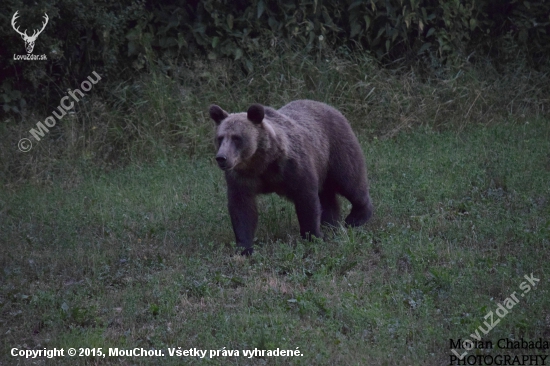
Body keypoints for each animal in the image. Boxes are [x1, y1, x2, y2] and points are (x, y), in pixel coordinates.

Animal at [209, 100, 374, 254]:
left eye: (237, 138)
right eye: (220, 137)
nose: (222, 158)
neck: (262, 162)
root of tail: (329, 106)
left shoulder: (293, 167)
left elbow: (306, 199)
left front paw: (313, 236)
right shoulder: (241, 177)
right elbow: (242, 208)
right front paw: (244, 248)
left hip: (336, 150)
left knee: (349, 180)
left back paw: (355, 218)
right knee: (327, 195)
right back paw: (330, 223)